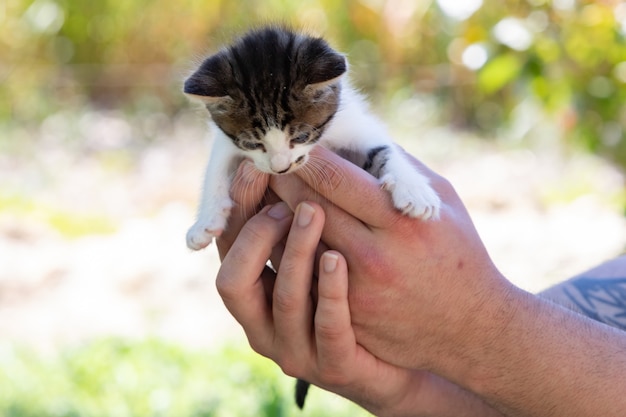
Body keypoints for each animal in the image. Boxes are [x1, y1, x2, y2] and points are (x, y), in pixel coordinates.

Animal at [183, 25, 442, 406]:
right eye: (253, 143)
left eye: (301, 136)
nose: (280, 167)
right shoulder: (227, 143)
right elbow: (216, 166)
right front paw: (205, 221)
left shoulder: (357, 126)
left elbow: (387, 152)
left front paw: (415, 190)